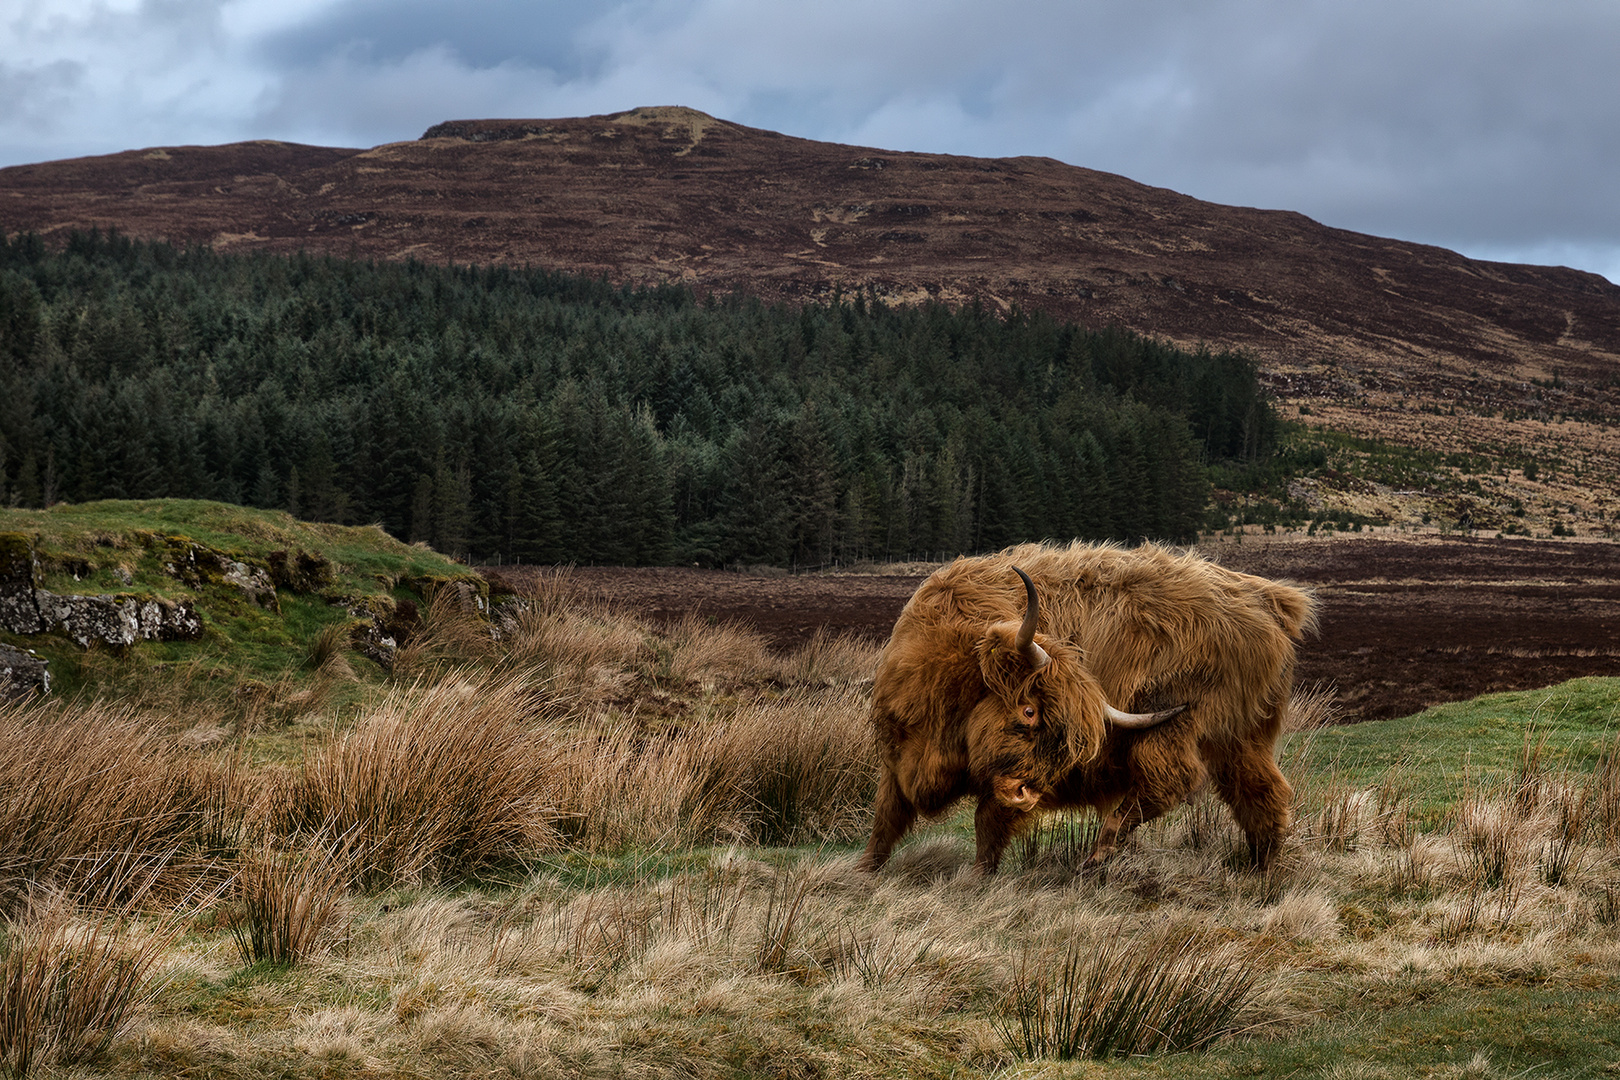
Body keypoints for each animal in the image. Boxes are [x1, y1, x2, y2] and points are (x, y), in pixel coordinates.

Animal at [861, 544, 1315, 874]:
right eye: (1028, 711)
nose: (1025, 793)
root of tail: (1269, 600)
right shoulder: (896, 756)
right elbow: (886, 817)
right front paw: (866, 871)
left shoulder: (996, 783)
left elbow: (986, 824)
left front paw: (976, 878)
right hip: (1242, 737)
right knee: (1262, 793)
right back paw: (1262, 873)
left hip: (1180, 720)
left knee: (1170, 779)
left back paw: (1100, 851)